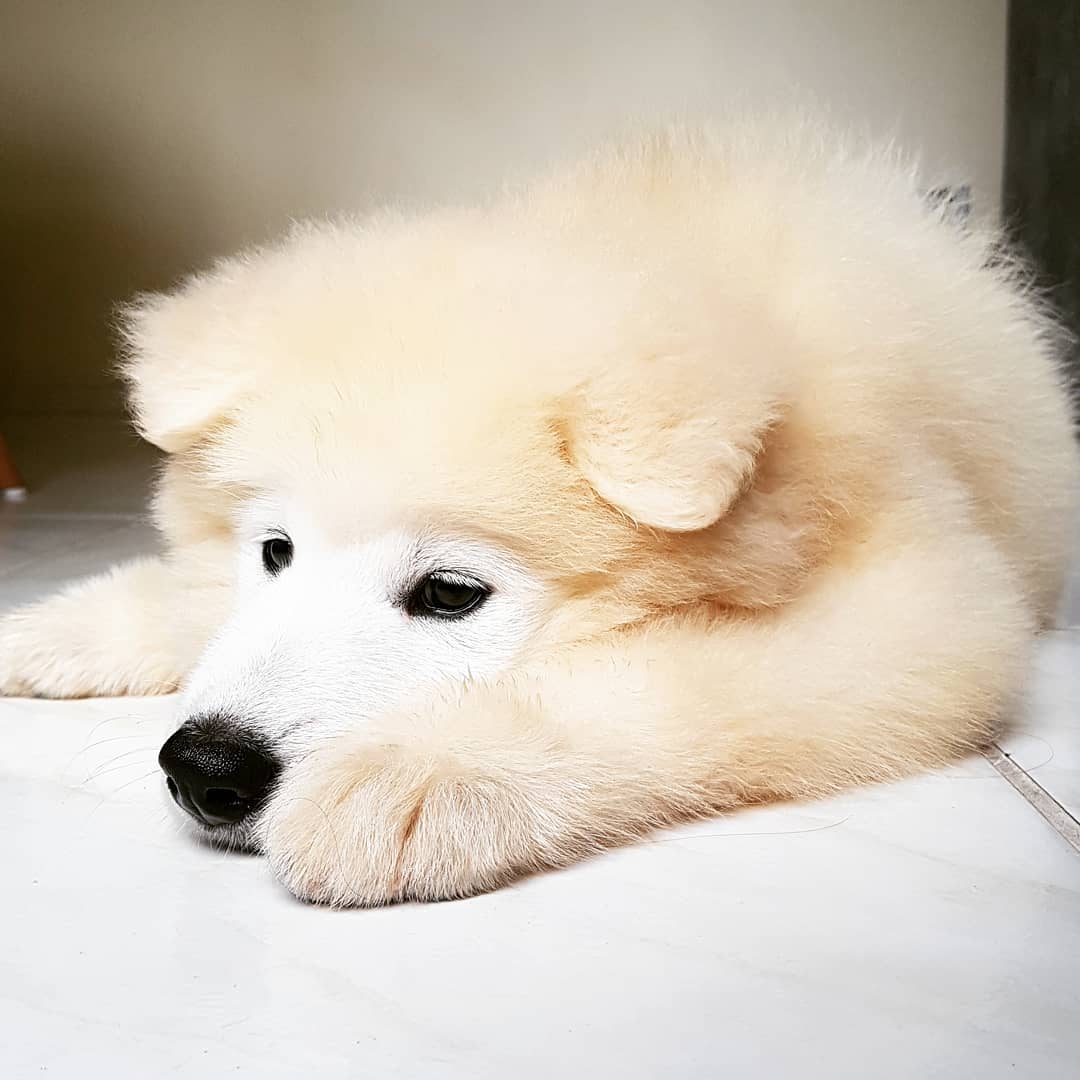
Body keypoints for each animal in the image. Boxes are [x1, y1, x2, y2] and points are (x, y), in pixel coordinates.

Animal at [2, 120, 1080, 902]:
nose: (204, 765)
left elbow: (653, 682)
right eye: (275, 551)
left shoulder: (918, 603)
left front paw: (413, 775)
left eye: (449, 594)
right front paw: (56, 627)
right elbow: (195, 598)